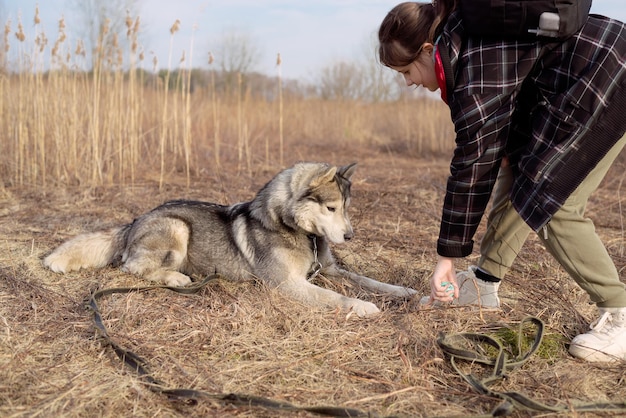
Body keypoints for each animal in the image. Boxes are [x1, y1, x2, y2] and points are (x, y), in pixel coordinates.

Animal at [42, 162, 414, 316]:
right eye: (331, 207)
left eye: (347, 208)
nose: (349, 236)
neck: (298, 231)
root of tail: (135, 220)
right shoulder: (287, 284)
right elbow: (334, 297)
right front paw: (363, 306)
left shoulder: (331, 271)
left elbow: (369, 280)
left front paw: (407, 292)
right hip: (177, 228)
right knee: (132, 267)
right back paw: (177, 278)